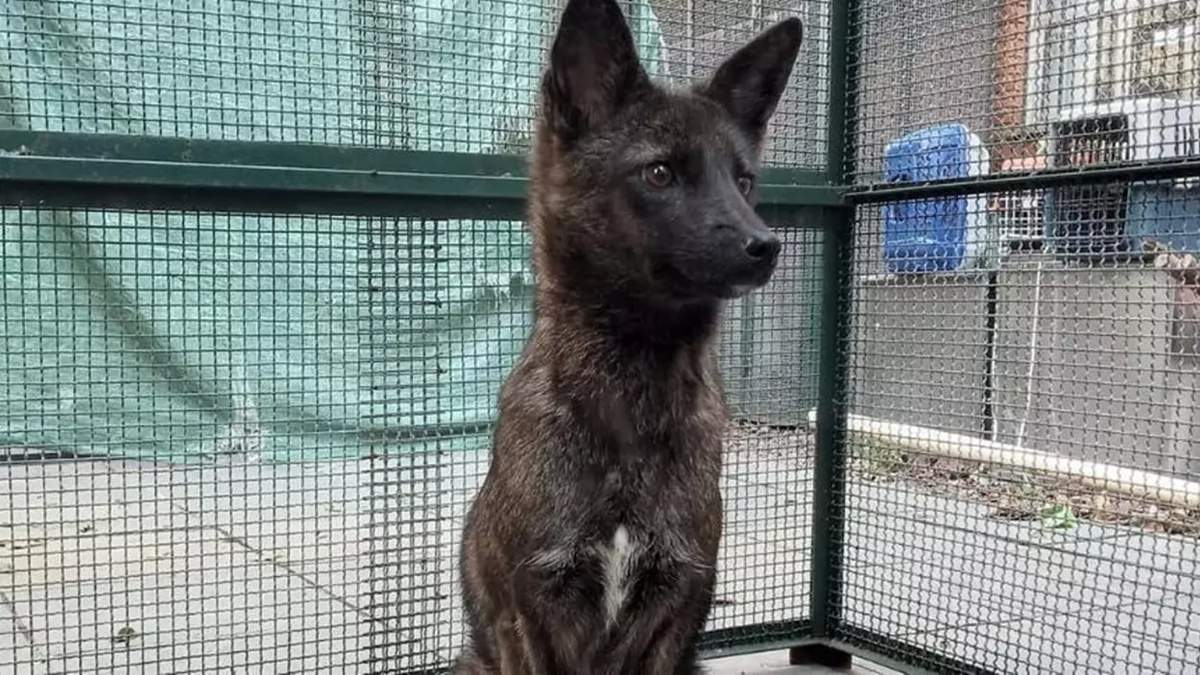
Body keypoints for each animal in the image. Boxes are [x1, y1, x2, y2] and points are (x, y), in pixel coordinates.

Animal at [456, 0, 802, 672]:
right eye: (660, 172)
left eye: (744, 180)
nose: (766, 246)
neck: (628, 399)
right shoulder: (528, 615)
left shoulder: (674, 611)